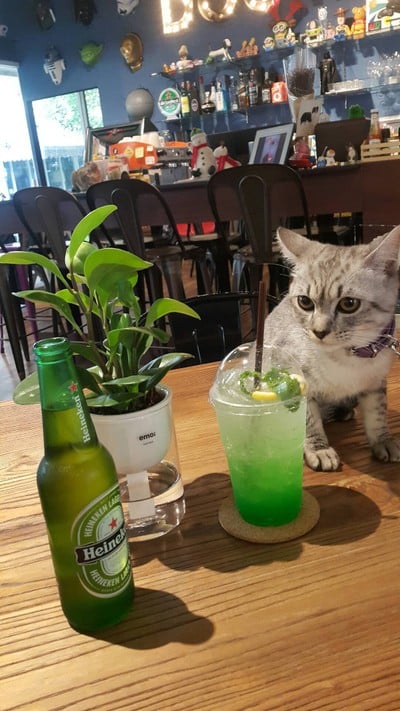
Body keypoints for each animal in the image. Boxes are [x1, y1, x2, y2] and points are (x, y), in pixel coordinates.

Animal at [263, 225, 400, 471]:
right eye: (305, 302)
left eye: (349, 304)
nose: (319, 331)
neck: (350, 356)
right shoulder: (294, 379)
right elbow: (308, 419)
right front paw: (319, 449)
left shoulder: (375, 383)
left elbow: (377, 413)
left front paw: (382, 440)